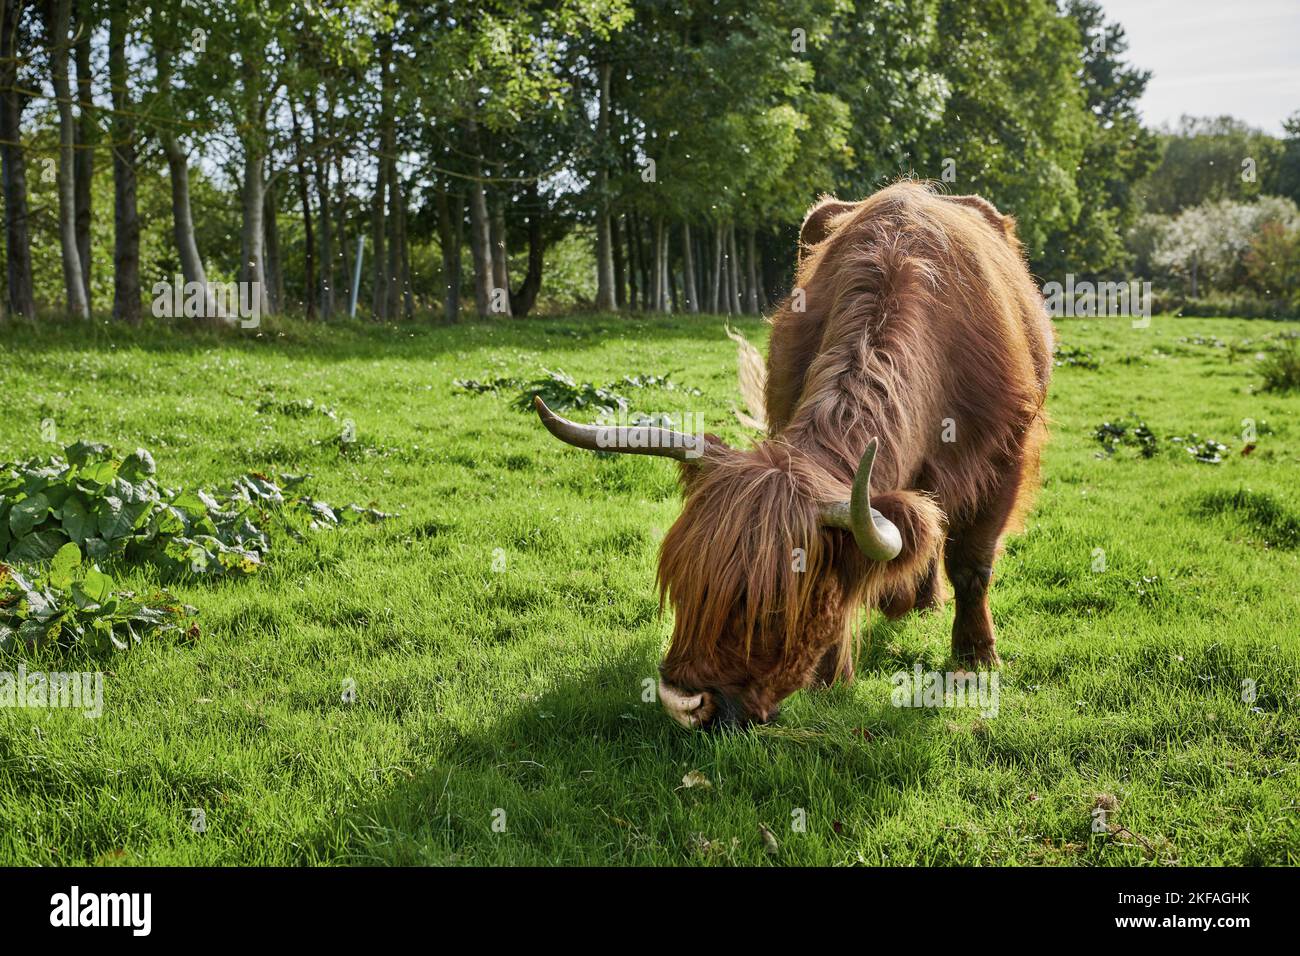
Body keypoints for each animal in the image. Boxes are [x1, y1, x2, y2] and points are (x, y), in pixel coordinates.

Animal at [533, 180, 1050, 733]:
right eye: (684, 584)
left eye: (772, 610)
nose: (683, 704)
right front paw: (832, 674)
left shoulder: (1006, 458)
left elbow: (971, 565)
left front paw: (976, 657)